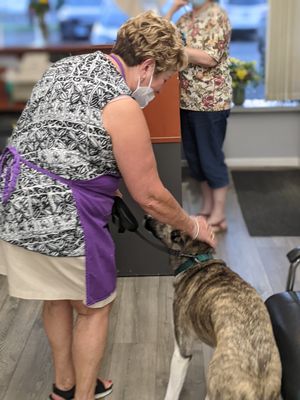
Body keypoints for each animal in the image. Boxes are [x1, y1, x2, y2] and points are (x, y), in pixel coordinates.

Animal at [145, 217, 282, 398]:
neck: (196, 259)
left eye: (162, 221)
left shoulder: (182, 351)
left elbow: (172, 391)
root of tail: (257, 388)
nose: (146, 217)